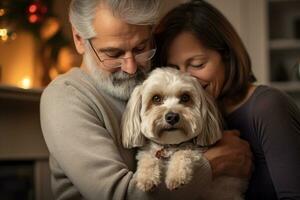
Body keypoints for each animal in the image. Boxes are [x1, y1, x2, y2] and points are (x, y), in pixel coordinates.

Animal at [120, 68, 247, 199]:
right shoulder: (151, 151)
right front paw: (146, 178)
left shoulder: (194, 149)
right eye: (156, 98)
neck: (170, 145)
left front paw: (176, 176)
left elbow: (183, 153)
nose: (172, 117)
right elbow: (147, 157)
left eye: (185, 97)